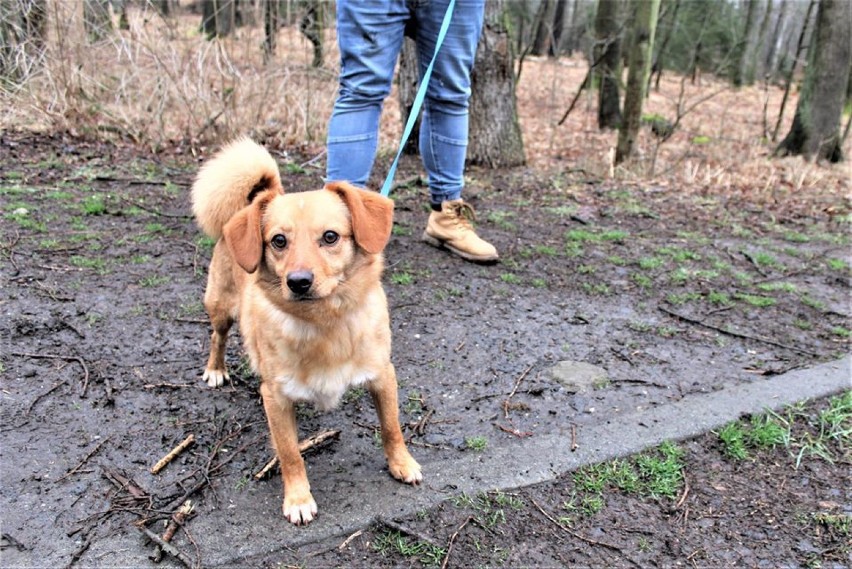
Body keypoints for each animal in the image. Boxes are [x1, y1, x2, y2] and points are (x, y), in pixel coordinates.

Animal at [191, 138, 422, 524]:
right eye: (278, 241)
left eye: (330, 237)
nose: (298, 282)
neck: (323, 322)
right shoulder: (276, 399)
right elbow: (290, 453)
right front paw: (298, 498)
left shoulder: (382, 376)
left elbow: (392, 427)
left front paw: (401, 464)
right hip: (220, 307)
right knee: (217, 336)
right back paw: (216, 369)